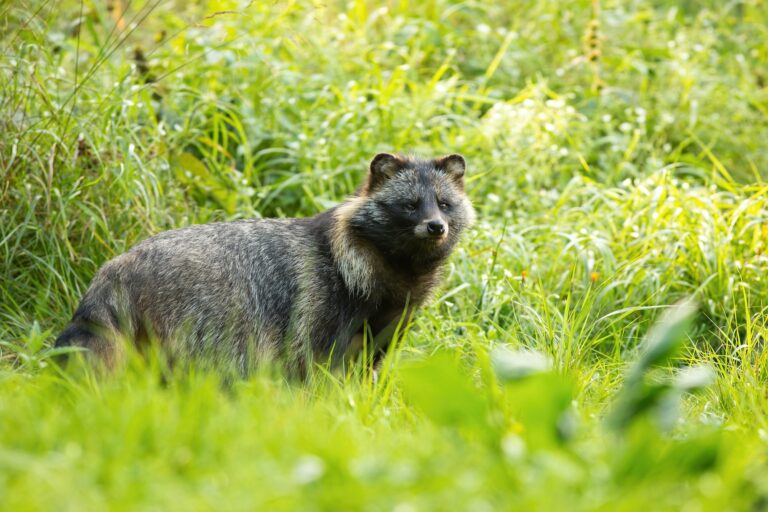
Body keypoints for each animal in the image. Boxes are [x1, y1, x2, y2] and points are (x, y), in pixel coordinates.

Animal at [57, 153, 474, 376]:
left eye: (444, 203)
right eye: (409, 204)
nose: (436, 226)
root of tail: (119, 265)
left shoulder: (385, 329)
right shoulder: (318, 310)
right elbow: (314, 373)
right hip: (202, 321)